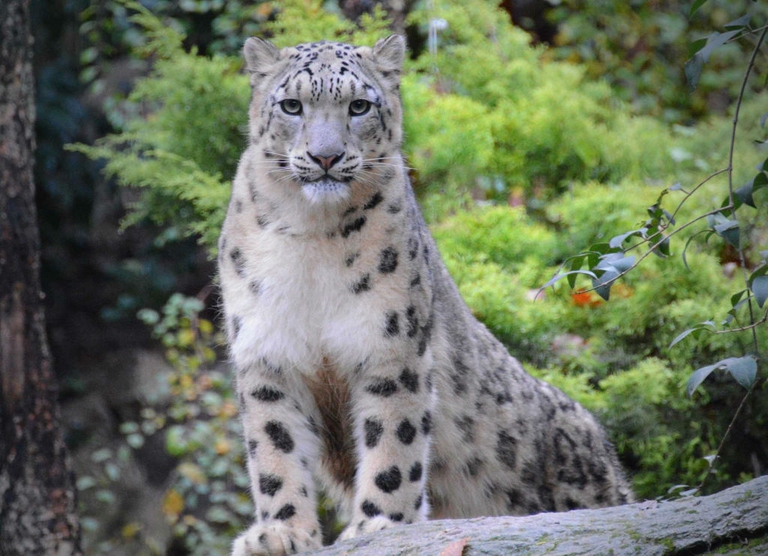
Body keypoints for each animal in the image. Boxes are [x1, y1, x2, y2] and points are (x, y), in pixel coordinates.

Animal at [218, 34, 633, 556]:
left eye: (358, 105)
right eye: (292, 105)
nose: (325, 157)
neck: (312, 235)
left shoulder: (391, 345)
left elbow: (393, 440)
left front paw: (379, 523)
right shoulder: (267, 353)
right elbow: (275, 449)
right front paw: (281, 532)